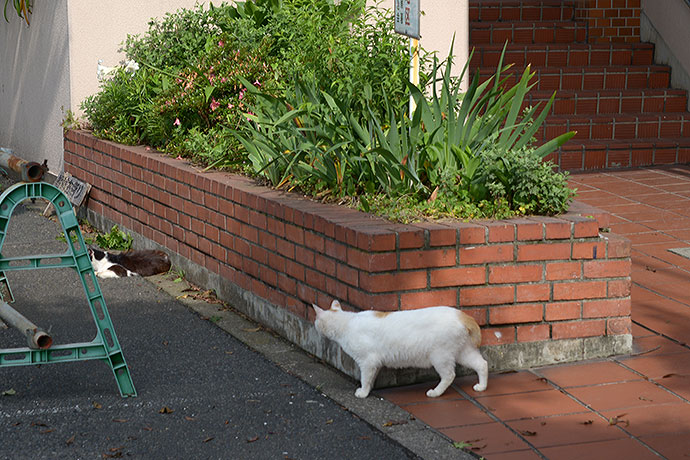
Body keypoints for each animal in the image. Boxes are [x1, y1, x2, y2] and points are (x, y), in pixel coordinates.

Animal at [310, 300, 486, 398]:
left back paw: (435, 392)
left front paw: (363, 393)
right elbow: (371, 378)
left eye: (316, 322)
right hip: (463, 353)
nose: (314, 327)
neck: (347, 322)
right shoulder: (375, 363)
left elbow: (365, 379)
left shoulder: (367, 362)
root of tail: (462, 315)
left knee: (449, 375)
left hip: (440, 356)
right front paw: (370, 389)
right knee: (482, 364)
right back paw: (481, 387)